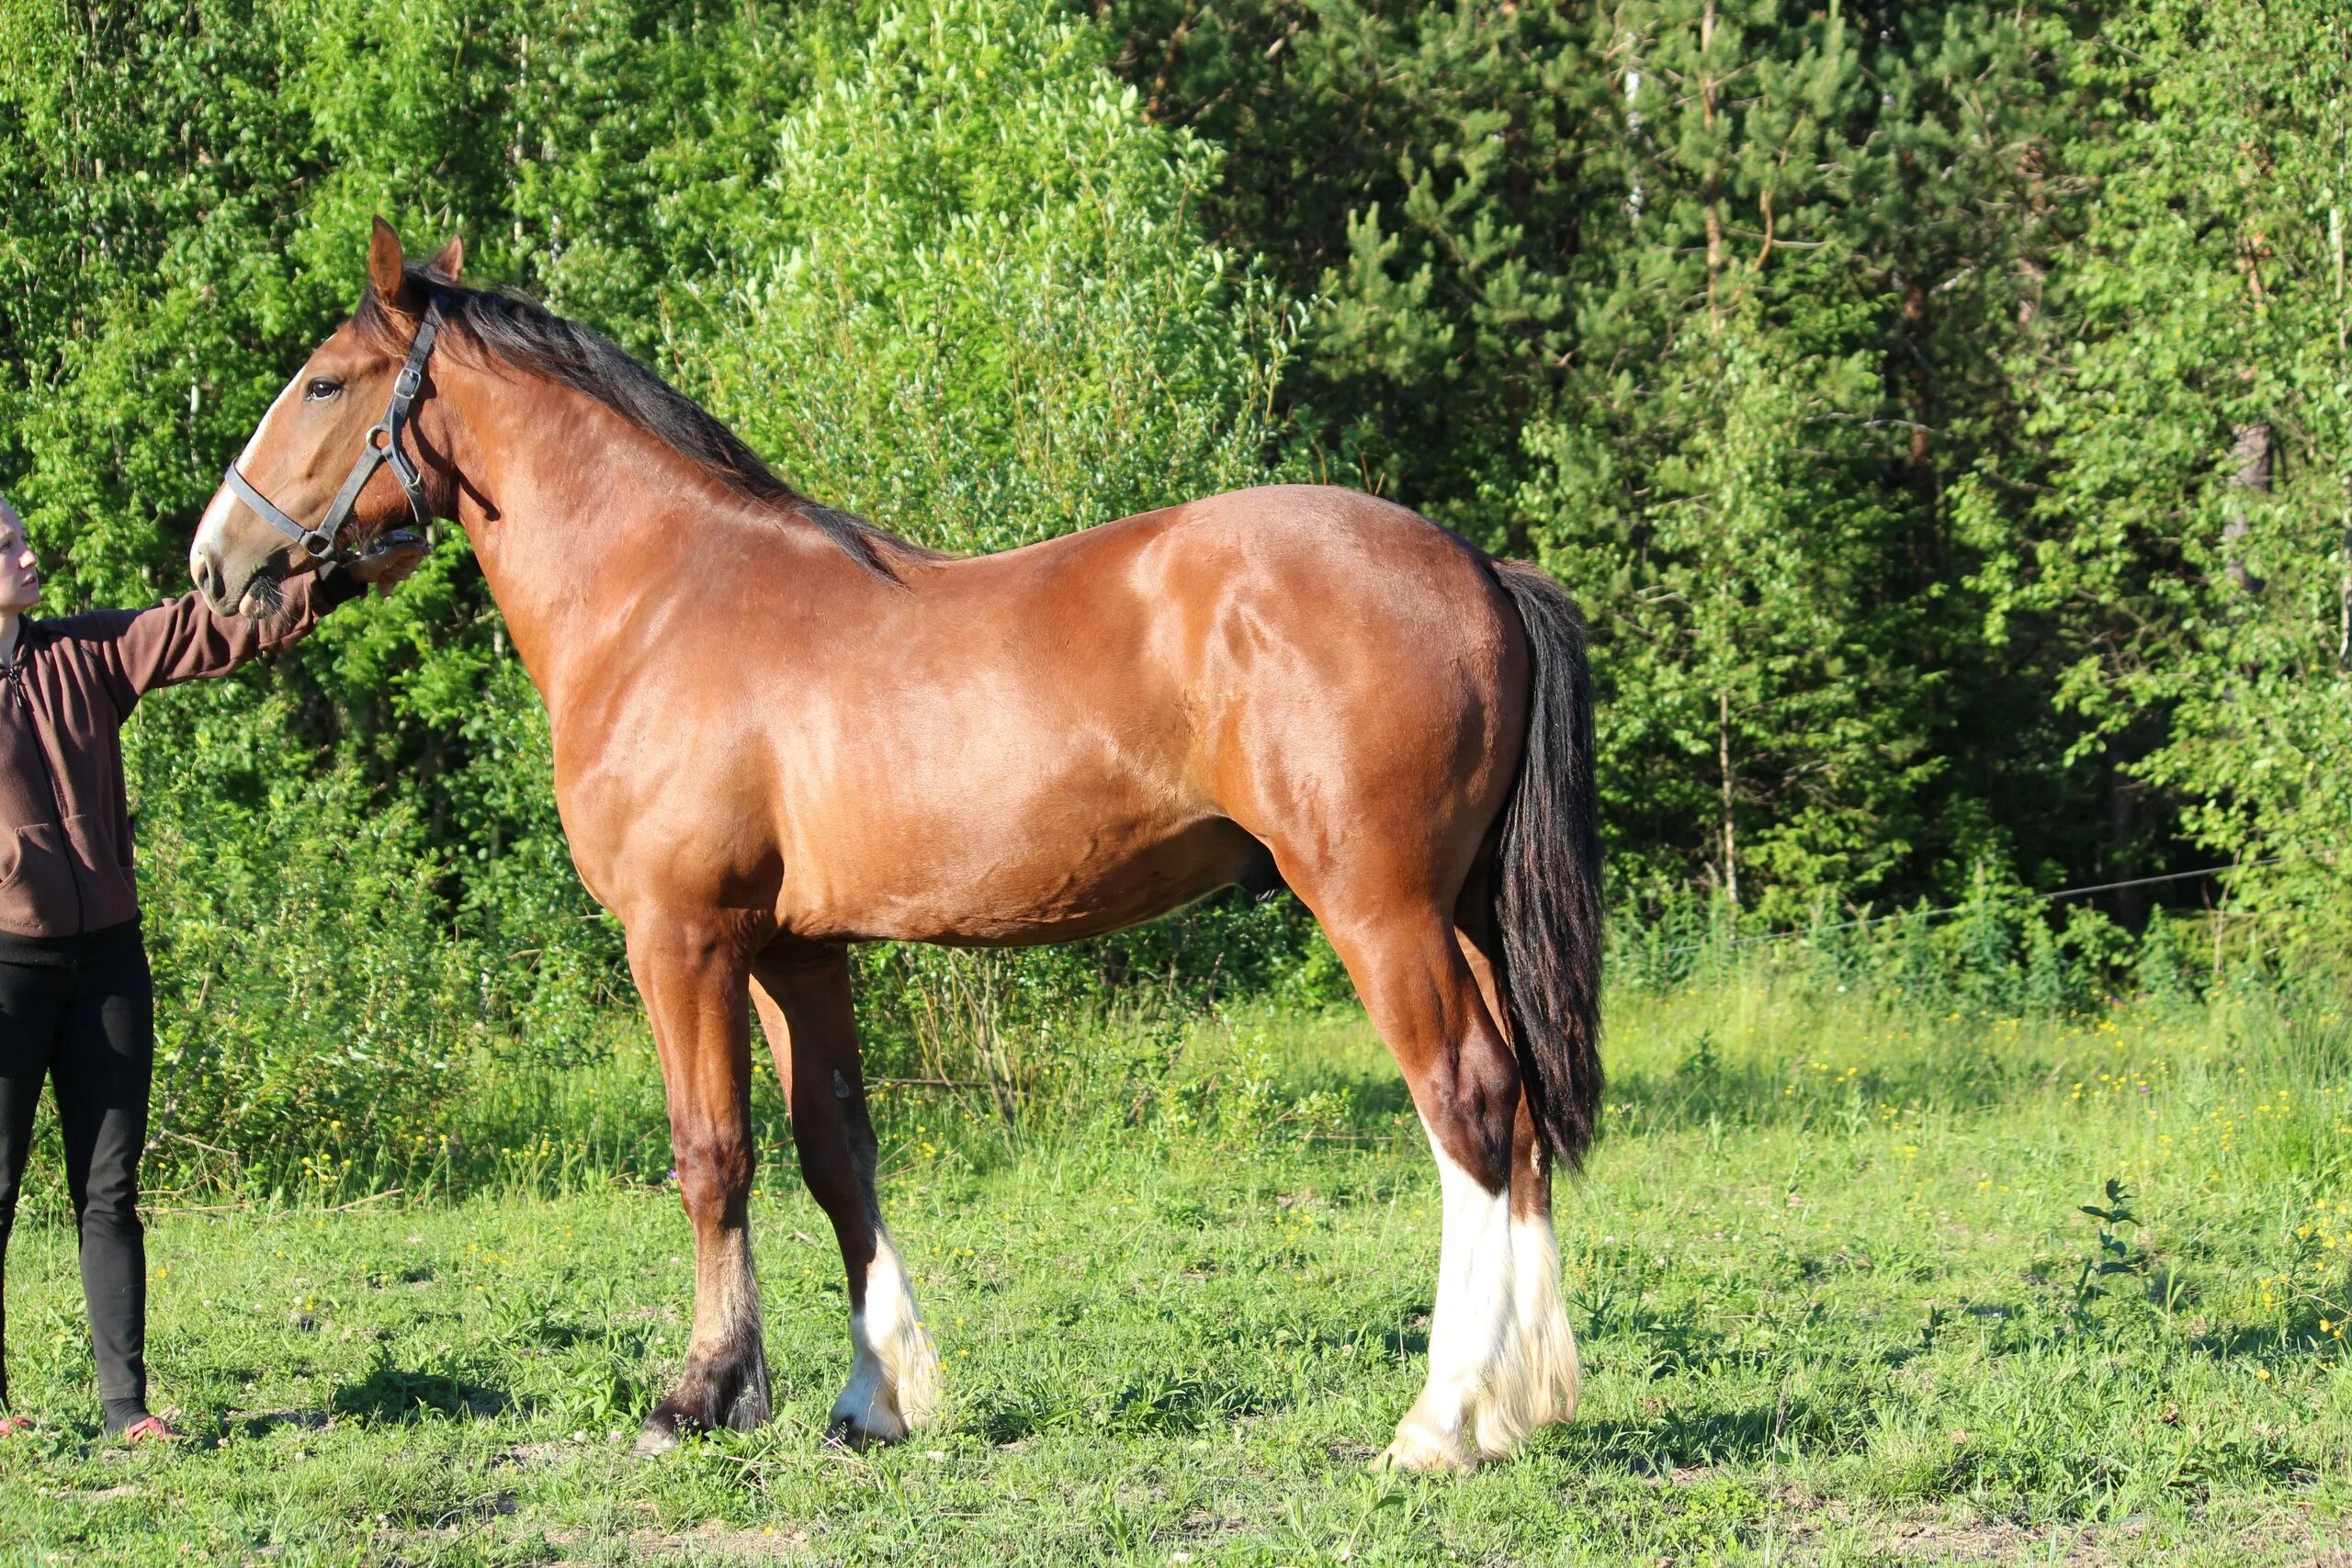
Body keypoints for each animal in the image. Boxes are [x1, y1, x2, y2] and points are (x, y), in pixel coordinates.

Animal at [192, 220, 1609, 1476]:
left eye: (323, 382)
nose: (216, 561)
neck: (659, 596)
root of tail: (1476, 567)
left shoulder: (681, 937)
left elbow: (712, 1155)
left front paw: (701, 1394)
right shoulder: (795, 951)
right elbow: (835, 1153)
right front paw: (874, 1397)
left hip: (1379, 910)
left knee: (1469, 1104)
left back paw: (1439, 1422)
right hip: (1466, 914)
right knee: (1524, 1114)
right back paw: (1524, 1405)